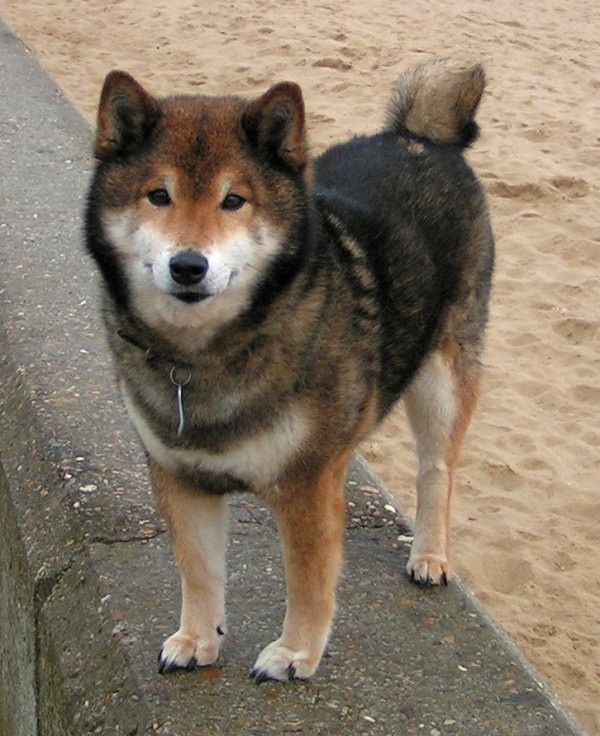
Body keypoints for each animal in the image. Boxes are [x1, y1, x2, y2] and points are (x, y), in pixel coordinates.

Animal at [85, 59, 496, 684]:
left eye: (234, 201)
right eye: (158, 196)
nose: (188, 265)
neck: (205, 356)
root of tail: (421, 138)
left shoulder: (307, 484)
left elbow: (309, 582)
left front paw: (295, 653)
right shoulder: (180, 477)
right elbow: (198, 571)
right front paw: (197, 639)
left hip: (443, 376)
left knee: (436, 471)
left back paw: (429, 554)